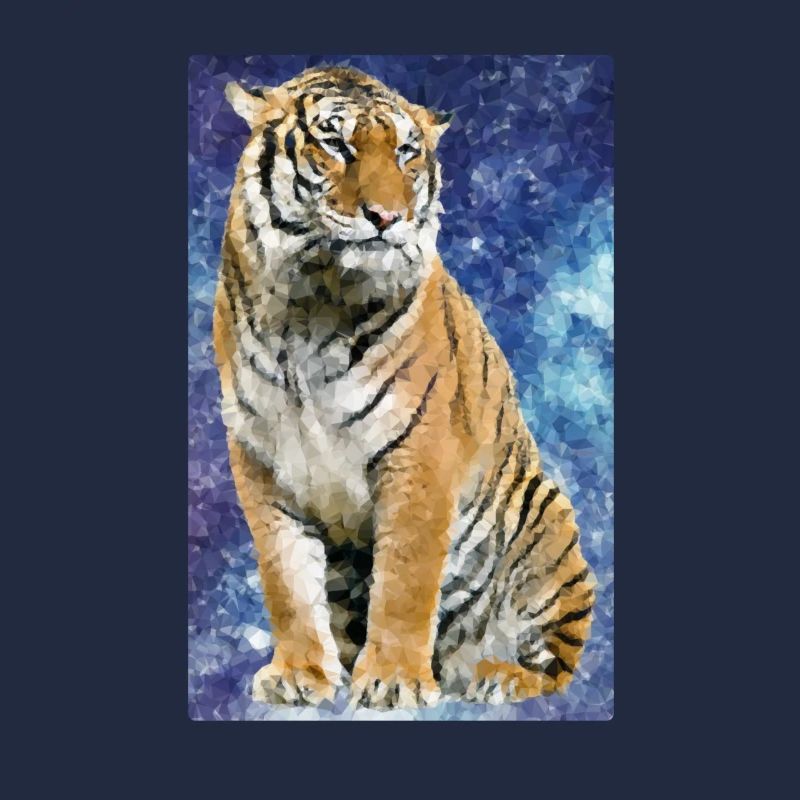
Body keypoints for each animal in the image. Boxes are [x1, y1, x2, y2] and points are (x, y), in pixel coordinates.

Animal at [213, 66, 596, 709]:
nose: (387, 217)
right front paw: (300, 674)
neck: (311, 304)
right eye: (335, 144)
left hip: (548, 525)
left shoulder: (419, 454)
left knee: (555, 663)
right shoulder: (260, 459)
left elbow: (406, 579)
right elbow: (286, 580)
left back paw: (499, 677)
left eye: (405, 152)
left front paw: (394, 681)